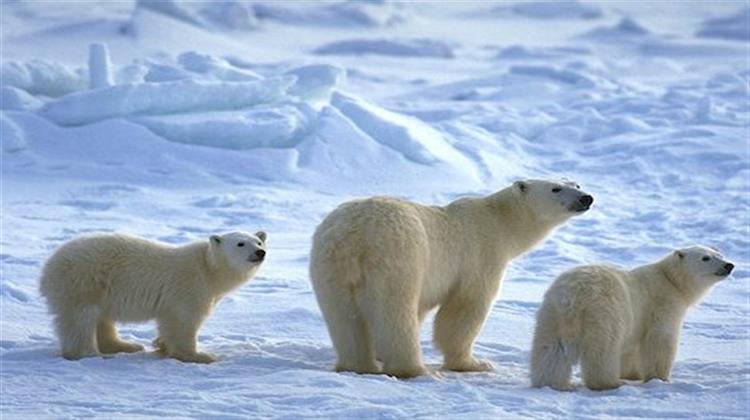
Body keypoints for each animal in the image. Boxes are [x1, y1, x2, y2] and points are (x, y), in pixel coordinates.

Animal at [39, 231, 268, 362]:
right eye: (240, 243)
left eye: (258, 241)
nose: (260, 253)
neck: (208, 267)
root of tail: (48, 267)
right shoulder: (189, 286)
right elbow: (184, 321)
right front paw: (200, 355)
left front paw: (161, 344)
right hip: (84, 280)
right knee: (81, 319)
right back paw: (93, 354)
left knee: (101, 318)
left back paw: (125, 345)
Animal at [308, 179, 596, 378]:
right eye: (556, 188)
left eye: (576, 183)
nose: (586, 197)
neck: (499, 221)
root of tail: (354, 237)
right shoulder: (480, 255)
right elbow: (465, 309)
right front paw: (474, 363)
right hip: (399, 258)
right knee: (395, 313)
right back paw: (415, 369)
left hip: (330, 267)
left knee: (344, 318)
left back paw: (358, 365)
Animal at [532, 244, 736, 392]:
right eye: (705, 257)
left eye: (719, 254)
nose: (729, 265)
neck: (670, 280)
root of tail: (573, 296)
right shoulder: (662, 305)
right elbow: (660, 341)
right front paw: (660, 378)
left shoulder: (638, 321)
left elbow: (630, 349)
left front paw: (632, 373)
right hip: (606, 313)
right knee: (603, 351)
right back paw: (609, 383)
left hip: (552, 314)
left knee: (552, 350)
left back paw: (551, 383)